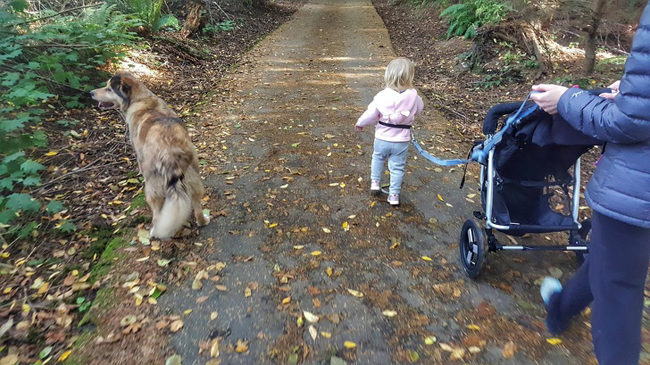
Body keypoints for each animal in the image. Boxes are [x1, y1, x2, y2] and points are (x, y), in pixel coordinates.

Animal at [90, 73, 208, 239]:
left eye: (109, 89)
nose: (91, 93)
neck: (141, 98)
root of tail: (170, 153)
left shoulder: (139, 153)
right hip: (194, 177)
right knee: (197, 204)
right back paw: (203, 220)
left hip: (153, 187)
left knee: (157, 212)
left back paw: (155, 231)